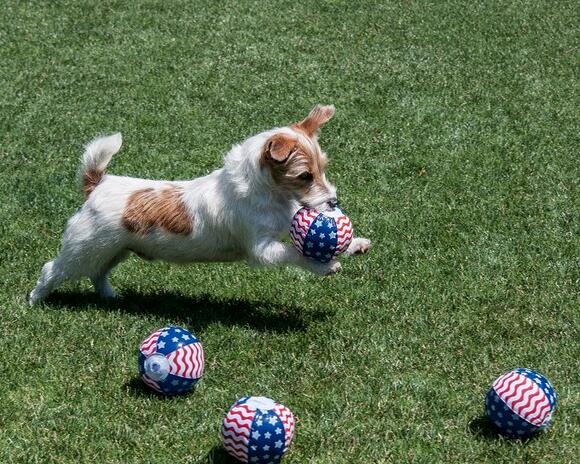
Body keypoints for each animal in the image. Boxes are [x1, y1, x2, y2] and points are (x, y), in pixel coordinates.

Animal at [28, 104, 372, 304]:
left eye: (323, 167)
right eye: (304, 175)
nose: (334, 201)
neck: (268, 193)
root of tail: (98, 183)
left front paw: (353, 243)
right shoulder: (262, 249)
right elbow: (294, 253)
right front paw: (325, 265)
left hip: (114, 249)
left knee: (98, 273)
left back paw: (110, 297)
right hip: (83, 250)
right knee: (52, 269)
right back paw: (36, 301)